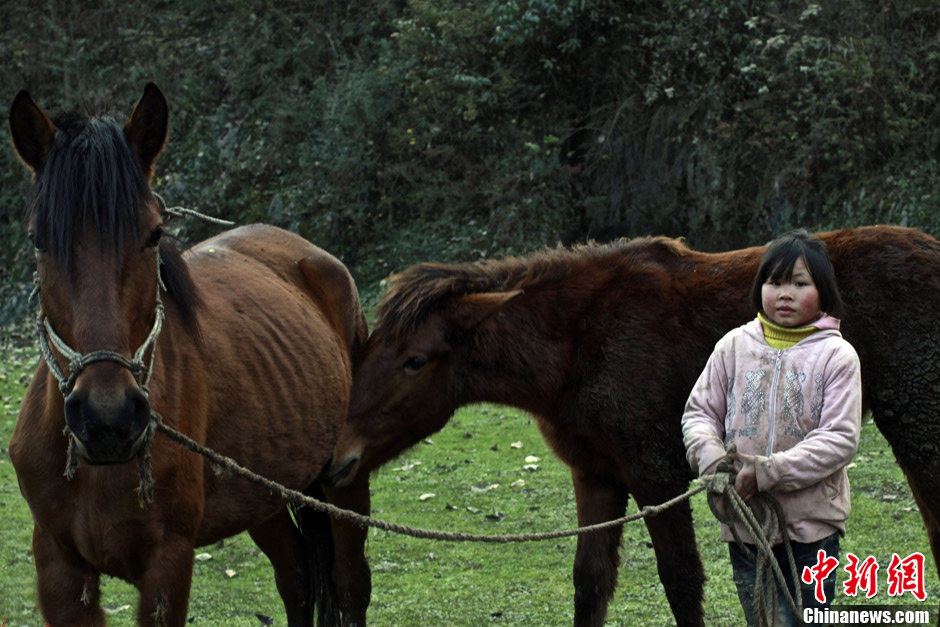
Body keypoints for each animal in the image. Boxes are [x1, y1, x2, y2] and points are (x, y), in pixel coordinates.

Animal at [10, 84, 374, 627]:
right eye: (39, 240)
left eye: (153, 235)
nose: (106, 418)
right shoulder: (59, 572)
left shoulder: (167, 565)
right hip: (264, 493)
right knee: (298, 582)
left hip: (343, 485)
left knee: (350, 587)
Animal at [328, 227, 940, 627]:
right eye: (368, 347)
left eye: (414, 360)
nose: (339, 461)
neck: (577, 347)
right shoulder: (596, 476)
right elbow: (591, 582)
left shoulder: (655, 475)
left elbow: (682, 581)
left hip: (918, 427)